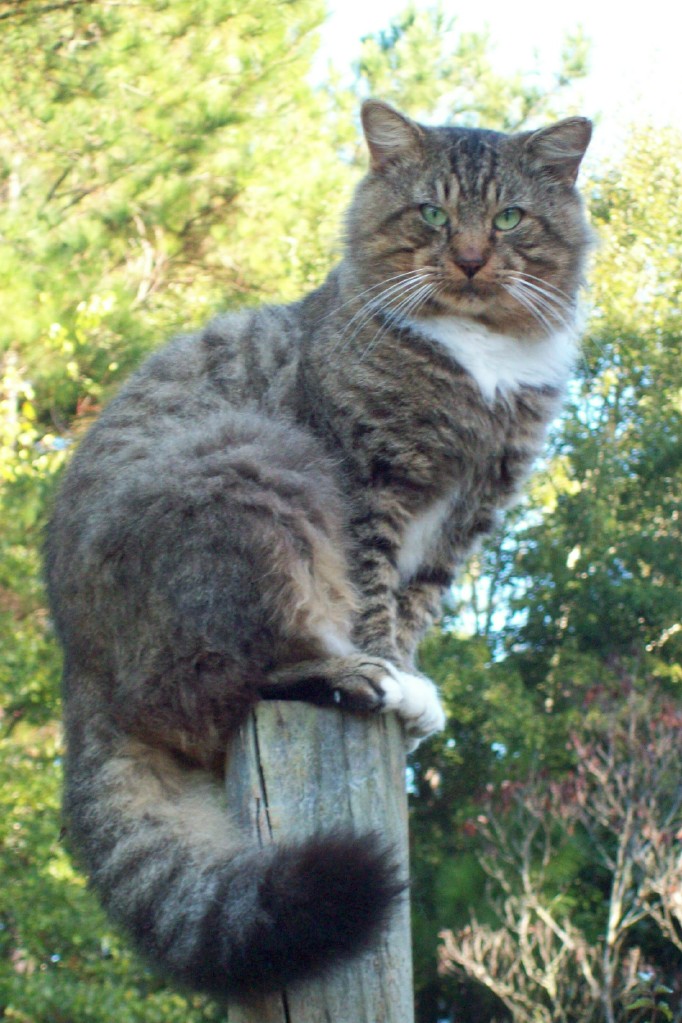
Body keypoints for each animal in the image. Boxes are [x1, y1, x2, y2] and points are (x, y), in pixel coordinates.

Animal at [46, 99, 593, 994]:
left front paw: (409, 678)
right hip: (256, 474)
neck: (479, 359)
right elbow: (371, 598)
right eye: (432, 214)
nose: (471, 258)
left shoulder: (461, 521)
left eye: (510, 217)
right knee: (242, 670)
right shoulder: (364, 482)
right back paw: (352, 675)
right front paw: (390, 673)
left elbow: (411, 610)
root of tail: (79, 668)